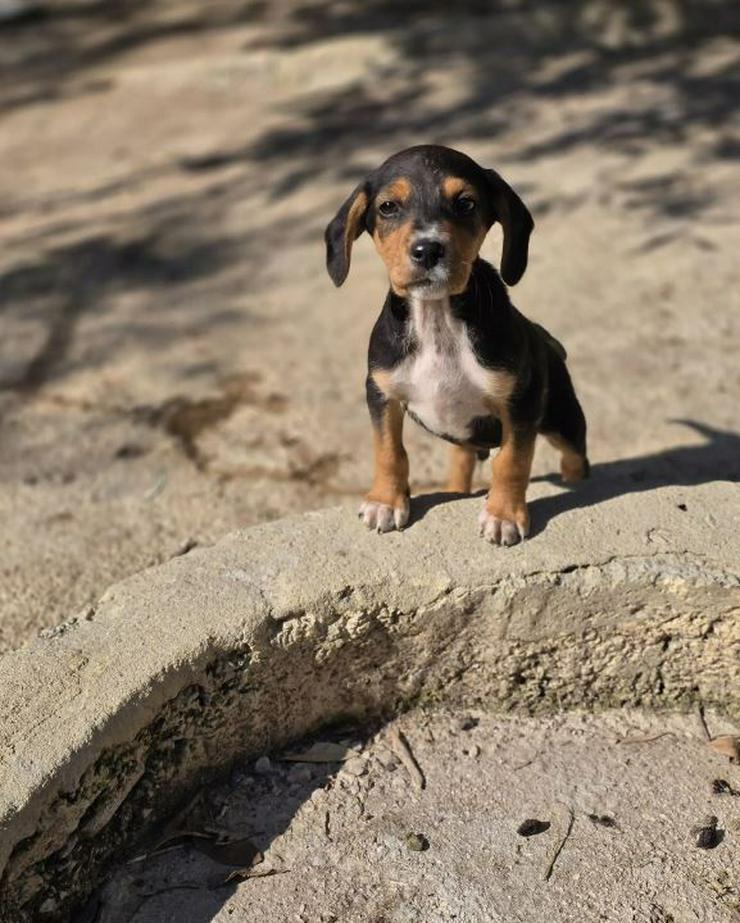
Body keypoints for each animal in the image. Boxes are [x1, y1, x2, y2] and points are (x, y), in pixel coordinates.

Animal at [324, 145, 588, 544]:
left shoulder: (520, 402)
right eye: (388, 207)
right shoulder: (381, 392)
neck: (438, 319)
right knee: (462, 462)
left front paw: (503, 515)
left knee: (575, 457)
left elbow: (512, 461)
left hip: (562, 417)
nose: (427, 249)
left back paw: (574, 479)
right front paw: (385, 501)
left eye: (465, 203)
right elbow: (388, 450)